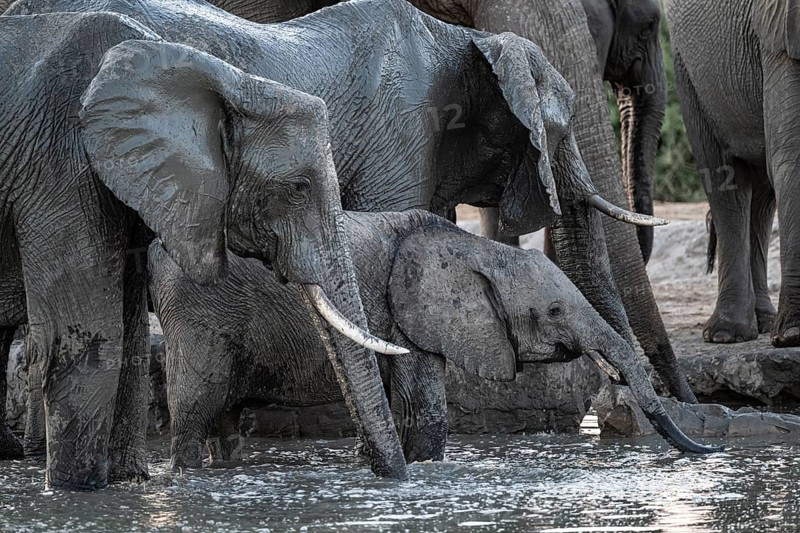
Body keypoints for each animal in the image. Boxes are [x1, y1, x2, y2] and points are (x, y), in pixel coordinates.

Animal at [0, 12, 408, 488]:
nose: (377, 468)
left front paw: (126, 483)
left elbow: (129, 338)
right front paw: (77, 493)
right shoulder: (59, 167)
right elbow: (87, 338)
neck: (223, 77)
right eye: (298, 188)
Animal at [148, 209, 720, 468]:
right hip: (200, 314)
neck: (474, 247)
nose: (710, 448)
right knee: (195, 410)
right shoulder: (407, 317)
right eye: (555, 311)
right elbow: (423, 408)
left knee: (224, 419)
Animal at [664, 0, 798, 347]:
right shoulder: (782, 33)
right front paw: (793, 335)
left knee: (762, 195)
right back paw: (727, 333)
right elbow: (793, 157)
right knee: (727, 184)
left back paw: (763, 324)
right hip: (688, 68)